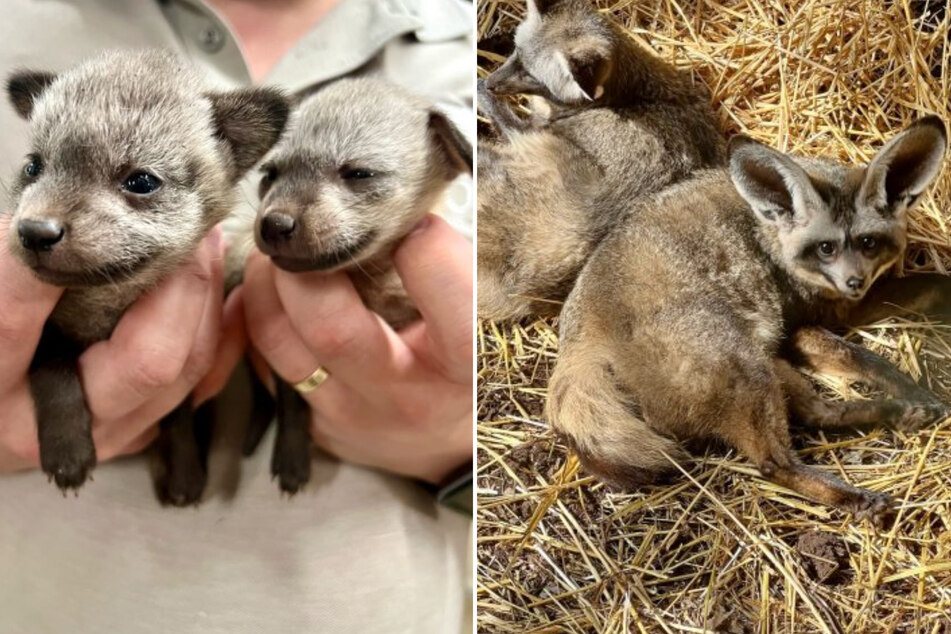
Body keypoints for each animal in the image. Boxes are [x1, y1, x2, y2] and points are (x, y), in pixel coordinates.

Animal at [5, 50, 289, 504]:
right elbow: (54, 374)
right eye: (33, 167)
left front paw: (186, 471)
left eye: (141, 181)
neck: (105, 307)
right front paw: (67, 453)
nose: (33, 231)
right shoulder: (49, 335)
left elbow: (177, 413)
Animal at [477, 0, 725, 322]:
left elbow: (498, 114)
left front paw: (477, 89)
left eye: (533, 77)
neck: (633, 94)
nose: (490, 83)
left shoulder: (530, 131)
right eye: (517, 55)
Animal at [547, 116, 950, 523]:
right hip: (748, 368)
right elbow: (878, 342)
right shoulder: (817, 318)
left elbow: (865, 356)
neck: (771, 237)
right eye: (826, 248)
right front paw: (913, 385)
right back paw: (857, 496)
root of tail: (581, 343)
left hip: (765, 361)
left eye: (868, 243)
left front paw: (911, 393)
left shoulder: (801, 329)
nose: (854, 282)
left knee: (817, 412)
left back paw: (901, 413)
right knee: (775, 462)